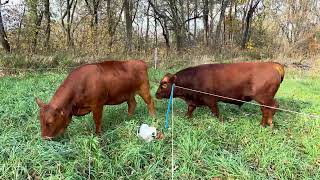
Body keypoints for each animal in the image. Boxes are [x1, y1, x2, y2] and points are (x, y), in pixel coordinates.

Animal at [156, 62, 284, 126]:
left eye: (164, 84)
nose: (156, 94)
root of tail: (273, 64)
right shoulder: (193, 100)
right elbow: (190, 110)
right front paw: (186, 118)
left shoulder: (211, 100)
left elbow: (216, 113)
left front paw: (223, 122)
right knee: (266, 109)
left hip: (264, 97)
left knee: (273, 106)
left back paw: (266, 123)